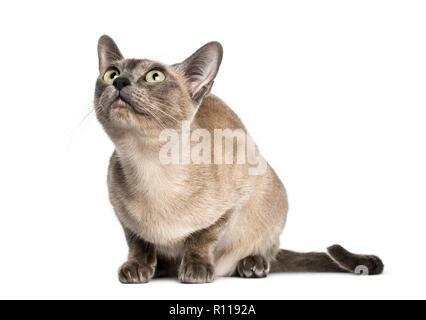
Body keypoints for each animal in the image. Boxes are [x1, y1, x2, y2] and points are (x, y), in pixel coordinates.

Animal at [95, 35, 384, 284]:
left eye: (155, 76)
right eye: (111, 73)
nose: (120, 82)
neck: (149, 164)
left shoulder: (234, 201)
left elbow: (201, 238)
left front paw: (196, 270)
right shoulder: (120, 212)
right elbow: (138, 242)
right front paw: (136, 269)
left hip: (272, 196)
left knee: (267, 252)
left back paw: (251, 264)